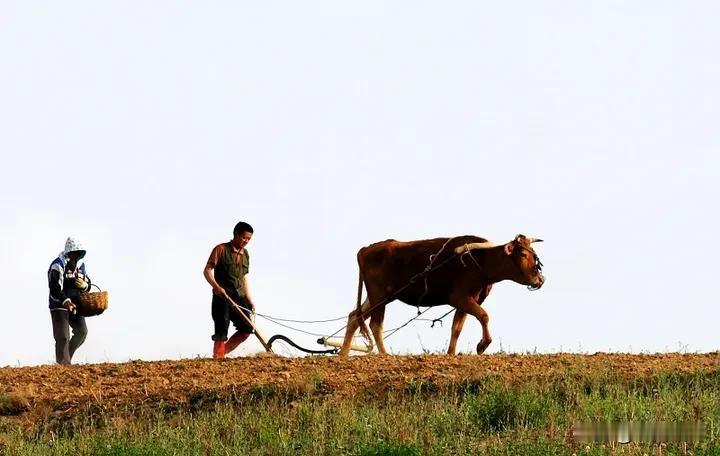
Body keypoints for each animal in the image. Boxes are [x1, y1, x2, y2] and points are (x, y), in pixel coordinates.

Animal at [340, 235, 544, 356]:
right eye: (523, 253)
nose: (540, 278)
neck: (481, 261)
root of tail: (366, 249)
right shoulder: (460, 297)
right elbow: (484, 316)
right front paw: (482, 345)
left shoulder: (466, 302)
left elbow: (457, 328)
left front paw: (451, 353)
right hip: (379, 296)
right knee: (375, 324)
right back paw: (385, 355)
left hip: (379, 297)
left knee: (354, 317)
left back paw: (343, 355)